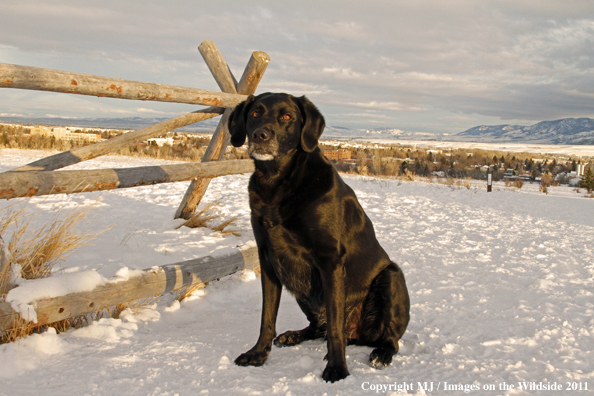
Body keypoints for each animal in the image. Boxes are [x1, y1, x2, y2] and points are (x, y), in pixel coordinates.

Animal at [227, 91, 408, 382]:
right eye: (255, 113)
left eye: (287, 116)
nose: (259, 135)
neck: (278, 183)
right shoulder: (268, 260)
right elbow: (267, 317)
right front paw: (258, 354)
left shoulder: (329, 262)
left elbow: (335, 326)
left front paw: (337, 368)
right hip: (300, 287)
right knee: (317, 327)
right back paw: (293, 335)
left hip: (391, 277)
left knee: (387, 338)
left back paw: (381, 353)